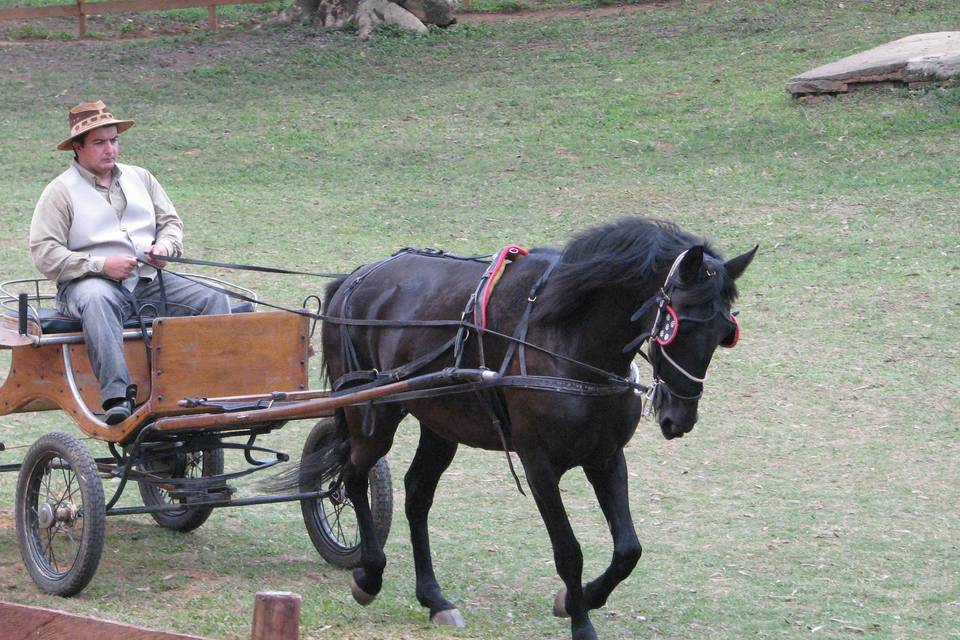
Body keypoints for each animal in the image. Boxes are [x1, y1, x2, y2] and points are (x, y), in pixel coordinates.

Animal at [312, 218, 752, 636]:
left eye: (723, 332)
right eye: (678, 326)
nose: (681, 416)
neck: (570, 337)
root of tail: (356, 278)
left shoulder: (606, 457)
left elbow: (628, 550)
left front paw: (581, 599)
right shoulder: (539, 465)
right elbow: (569, 552)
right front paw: (581, 623)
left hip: (440, 424)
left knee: (417, 493)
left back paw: (434, 598)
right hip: (372, 414)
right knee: (353, 477)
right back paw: (370, 575)